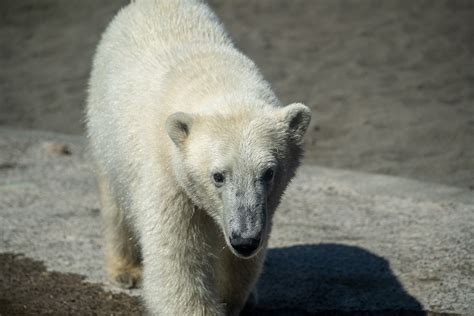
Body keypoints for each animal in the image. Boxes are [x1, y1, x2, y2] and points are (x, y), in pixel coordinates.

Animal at [87, 0, 312, 314]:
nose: (244, 240)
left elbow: (238, 263)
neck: (218, 83)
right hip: (105, 129)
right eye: (218, 176)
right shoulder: (169, 176)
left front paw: (235, 296)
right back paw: (125, 270)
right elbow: (179, 259)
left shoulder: (265, 205)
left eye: (268, 173)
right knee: (114, 203)